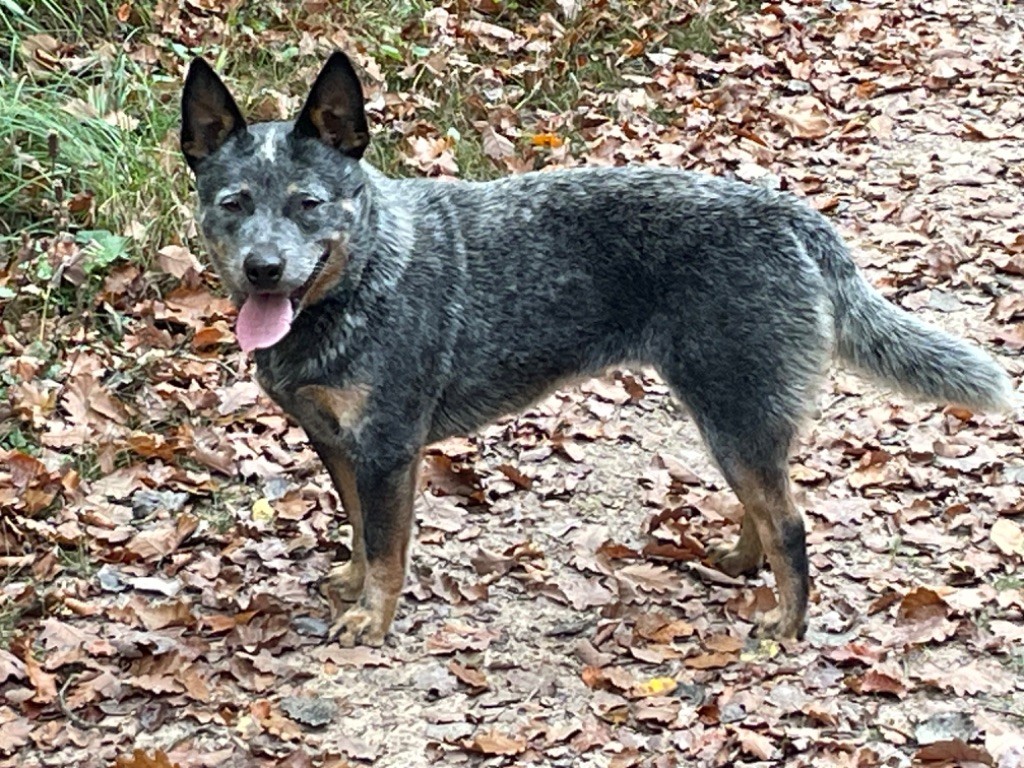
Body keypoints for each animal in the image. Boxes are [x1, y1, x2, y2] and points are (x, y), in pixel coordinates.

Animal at [180, 51, 1011, 647]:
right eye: (234, 204)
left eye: (307, 204)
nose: (263, 267)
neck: (362, 279)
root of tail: (791, 215)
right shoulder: (336, 443)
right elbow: (358, 531)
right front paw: (353, 584)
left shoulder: (388, 449)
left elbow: (387, 547)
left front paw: (372, 617)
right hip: (733, 417)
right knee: (765, 507)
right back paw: (741, 565)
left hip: (733, 408)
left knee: (791, 524)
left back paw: (788, 625)